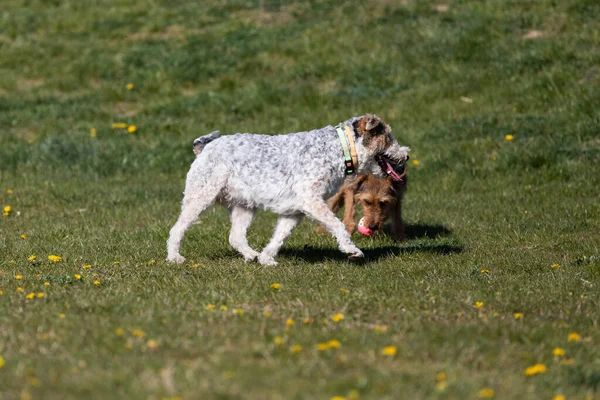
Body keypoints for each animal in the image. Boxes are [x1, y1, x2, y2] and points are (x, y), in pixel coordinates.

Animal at [166, 114, 410, 266]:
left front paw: (266, 259)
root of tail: (204, 146)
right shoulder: (311, 200)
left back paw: (252, 256)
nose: (407, 155)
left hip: (245, 206)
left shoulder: (295, 211)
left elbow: (279, 237)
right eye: (388, 136)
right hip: (200, 197)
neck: (340, 148)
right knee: (176, 229)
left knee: (235, 237)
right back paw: (174, 258)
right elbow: (338, 225)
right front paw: (352, 250)